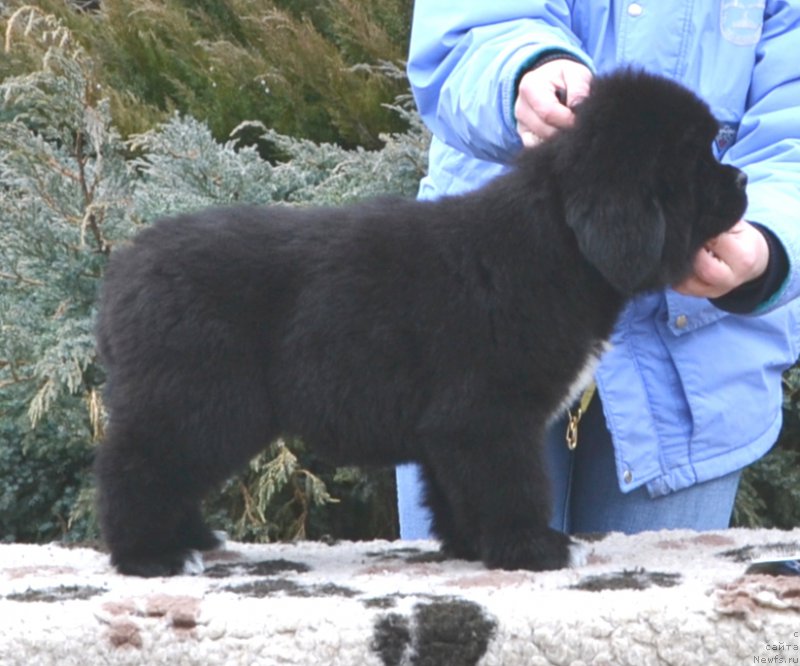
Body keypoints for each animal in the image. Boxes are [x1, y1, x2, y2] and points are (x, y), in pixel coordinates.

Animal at [95, 70, 752, 572]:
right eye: (694, 161)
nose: (744, 178)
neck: (559, 244)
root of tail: (124, 269)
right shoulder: (491, 414)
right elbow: (512, 483)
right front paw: (534, 548)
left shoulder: (451, 425)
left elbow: (455, 488)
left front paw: (471, 545)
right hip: (198, 396)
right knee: (138, 465)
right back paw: (152, 557)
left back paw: (192, 539)